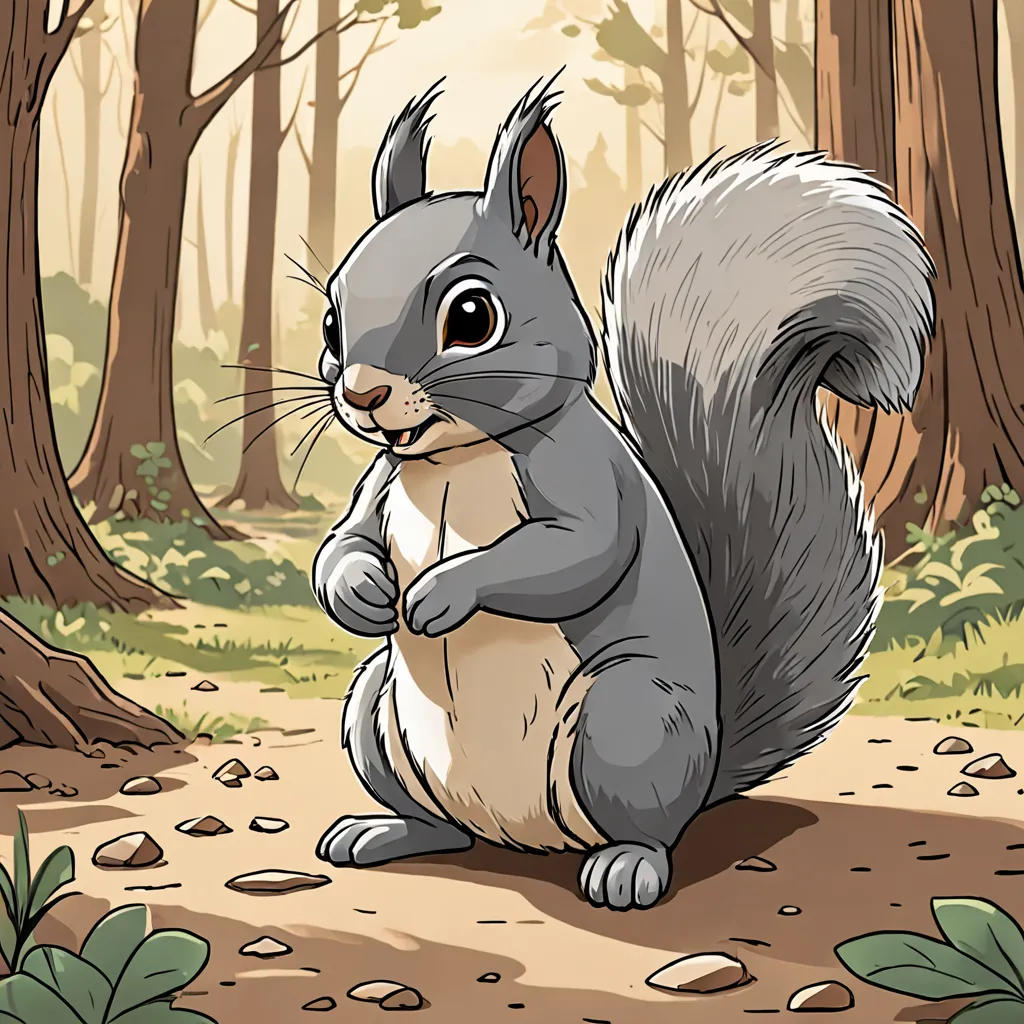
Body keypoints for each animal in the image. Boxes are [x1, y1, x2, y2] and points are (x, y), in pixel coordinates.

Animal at [310, 76, 935, 911]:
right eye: (331, 318)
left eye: (472, 317)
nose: (362, 394)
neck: (452, 458)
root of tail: (518, 836)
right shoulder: (379, 486)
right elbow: (342, 543)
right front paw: (364, 593)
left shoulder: (586, 475)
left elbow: (574, 553)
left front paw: (441, 593)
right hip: (375, 716)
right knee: (440, 824)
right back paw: (386, 832)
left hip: (626, 720)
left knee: (651, 828)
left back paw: (626, 867)